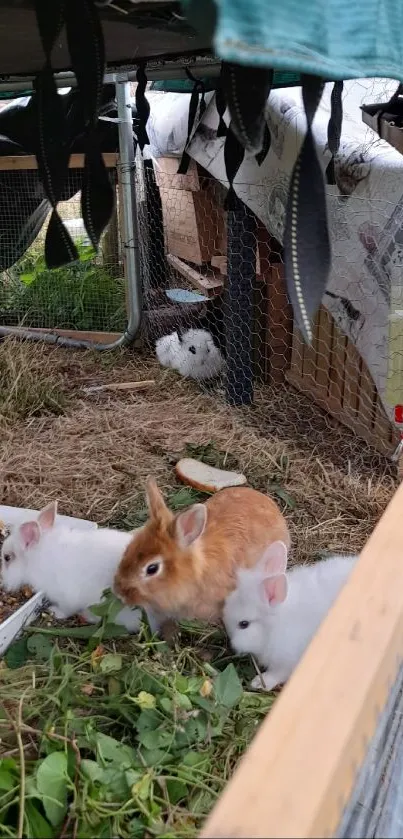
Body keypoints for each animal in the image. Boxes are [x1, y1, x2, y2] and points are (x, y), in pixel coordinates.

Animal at [0, 502, 142, 632]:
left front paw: (54, 611)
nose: (2, 579)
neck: (38, 558)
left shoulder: (66, 596)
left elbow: (66, 609)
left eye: (7, 558)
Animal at [223, 540, 358, 692]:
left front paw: (259, 682)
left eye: (244, 624)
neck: (276, 625)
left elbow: (278, 674)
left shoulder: (287, 660)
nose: (230, 641)